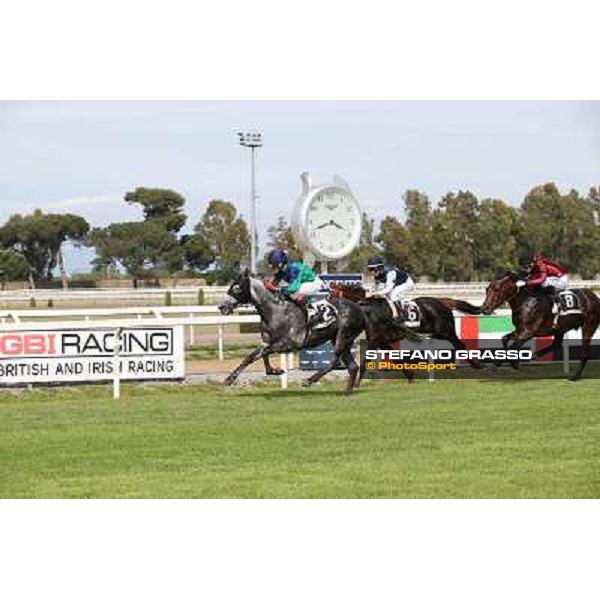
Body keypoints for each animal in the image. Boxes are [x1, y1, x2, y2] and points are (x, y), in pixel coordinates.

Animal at [328, 282, 482, 384]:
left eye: (332, 296)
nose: (329, 312)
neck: (370, 309)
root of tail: (442, 301)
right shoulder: (382, 340)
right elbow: (396, 358)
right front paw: (410, 375)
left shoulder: (375, 340)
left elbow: (366, 361)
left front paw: (357, 383)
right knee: (457, 345)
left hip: (444, 331)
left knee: (459, 344)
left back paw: (476, 365)